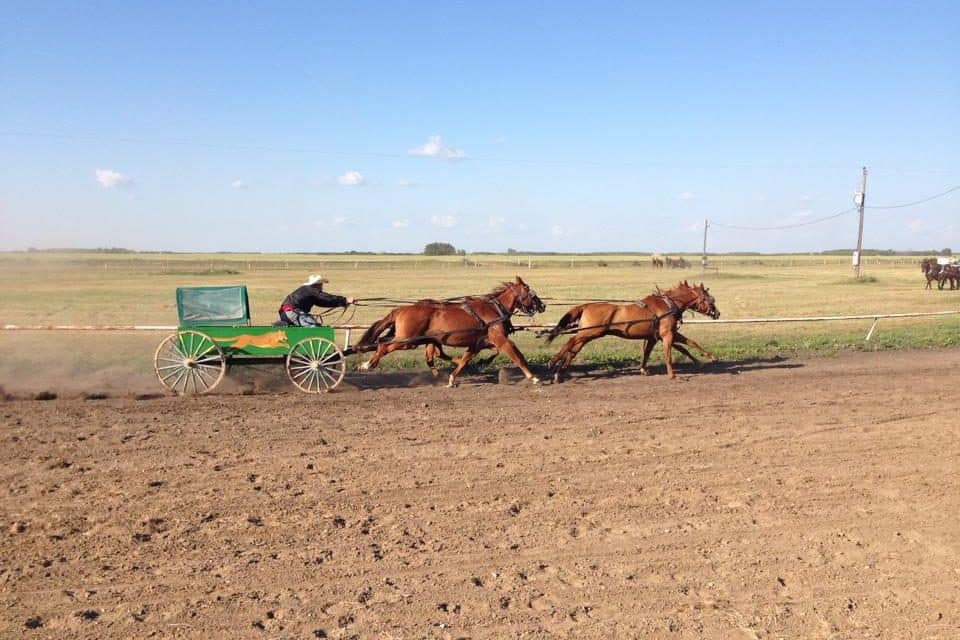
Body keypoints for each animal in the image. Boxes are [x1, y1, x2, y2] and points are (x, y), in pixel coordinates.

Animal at [355, 276, 546, 387]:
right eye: (531, 292)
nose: (543, 305)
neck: (494, 310)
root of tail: (401, 309)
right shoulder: (500, 339)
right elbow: (517, 356)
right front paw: (533, 377)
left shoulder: (478, 343)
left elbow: (466, 359)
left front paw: (454, 377)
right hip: (407, 340)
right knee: (382, 345)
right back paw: (367, 364)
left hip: (415, 340)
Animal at [544, 281, 720, 382]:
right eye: (710, 299)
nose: (717, 313)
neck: (668, 305)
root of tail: (585, 305)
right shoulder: (667, 335)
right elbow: (669, 355)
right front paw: (672, 375)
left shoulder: (658, 336)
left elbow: (688, 344)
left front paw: (708, 358)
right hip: (590, 332)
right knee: (570, 342)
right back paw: (553, 361)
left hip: (587, 335)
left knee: (572, 350)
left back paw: (559, 373)